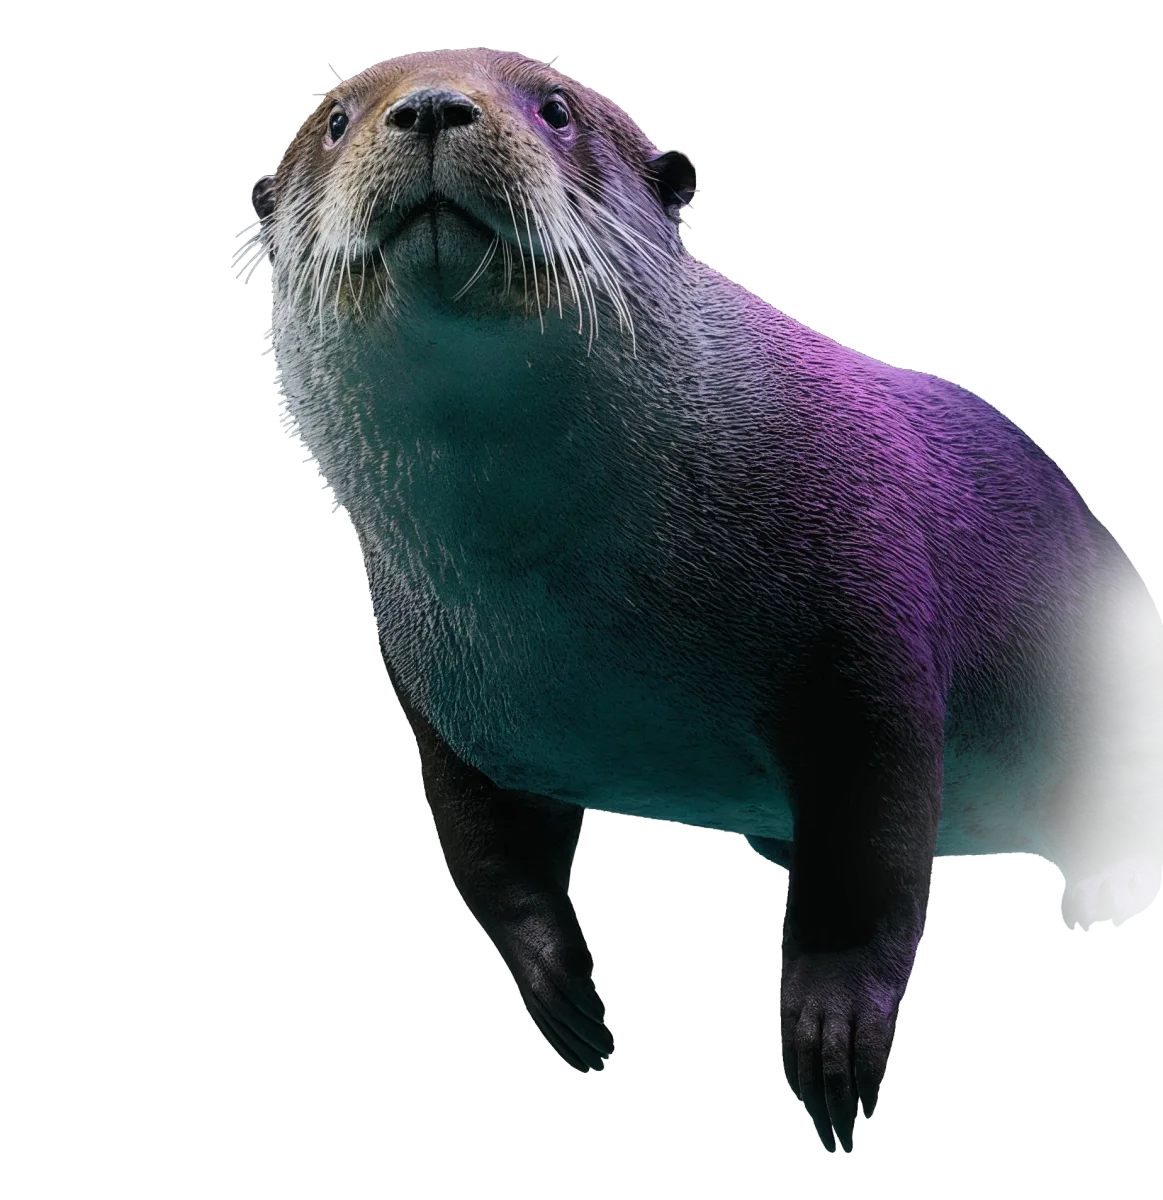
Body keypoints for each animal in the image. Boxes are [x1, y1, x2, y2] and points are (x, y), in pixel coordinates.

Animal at [244, 50, 1163, 1153]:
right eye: (336, 119)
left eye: (554, 108)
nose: (428, 105)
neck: (575, 602)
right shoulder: (437, 691)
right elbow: (486, 853)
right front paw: (563, 998)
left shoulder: (861, 628)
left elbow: (870, 848)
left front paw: (830, 1027)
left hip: (1103, 658)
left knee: (1114, 787)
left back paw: (1114, 883)